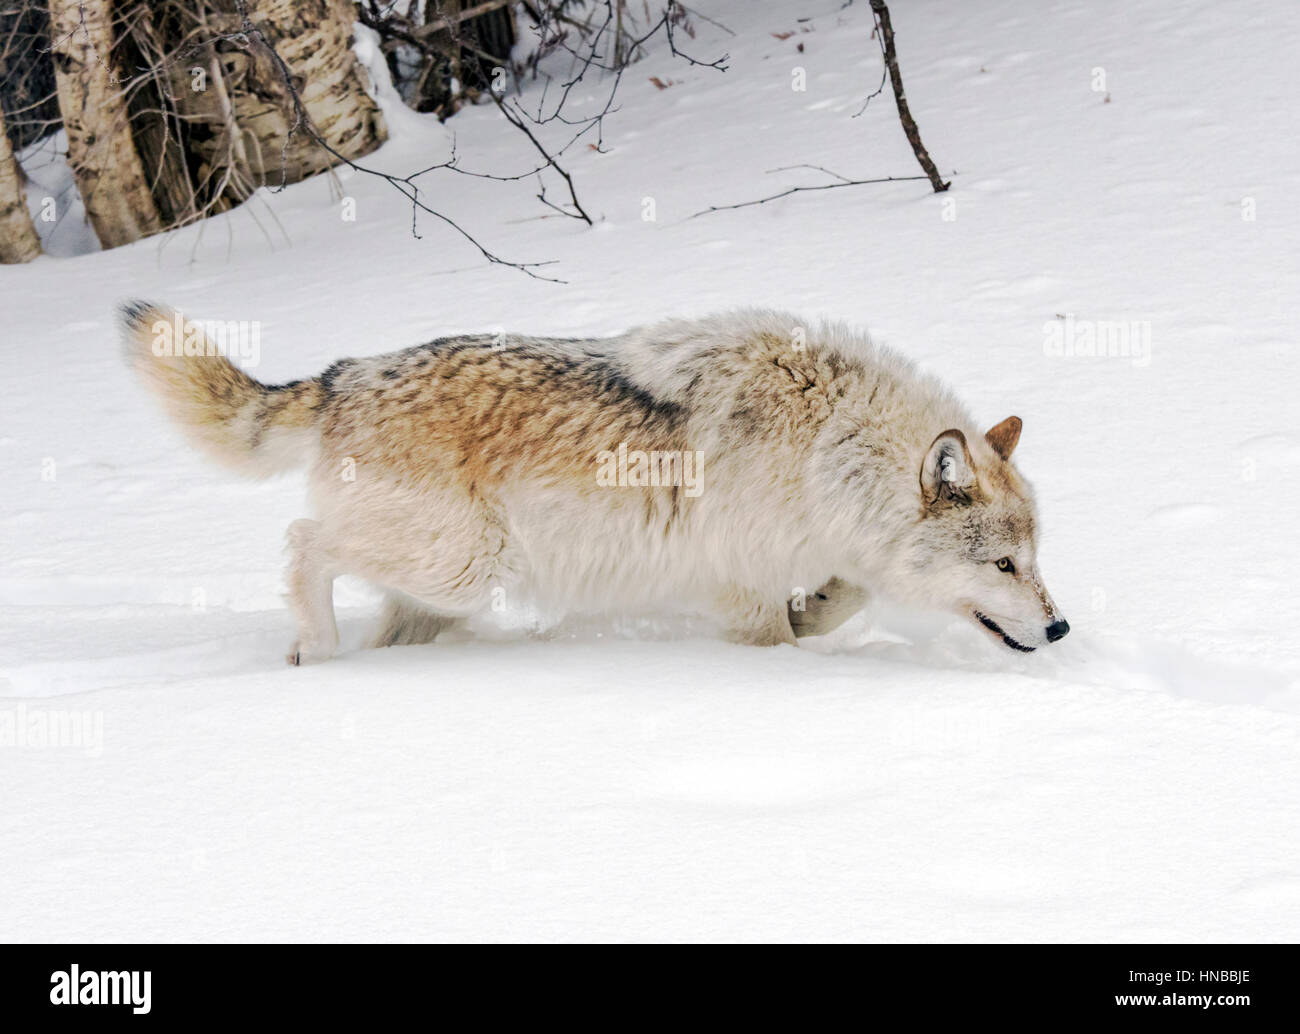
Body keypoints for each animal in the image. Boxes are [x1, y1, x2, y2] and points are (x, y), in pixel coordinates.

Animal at [119, 302, 1068, 663]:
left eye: (1035, 559)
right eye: (1005, 566)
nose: (1061, 629)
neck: (829, 445)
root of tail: (342, 376)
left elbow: (847, 597)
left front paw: (820, 610)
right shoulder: (738, 584)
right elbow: (782, 642)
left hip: (442, 593)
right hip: (466, 565)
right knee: (302, 544)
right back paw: (314, 650)